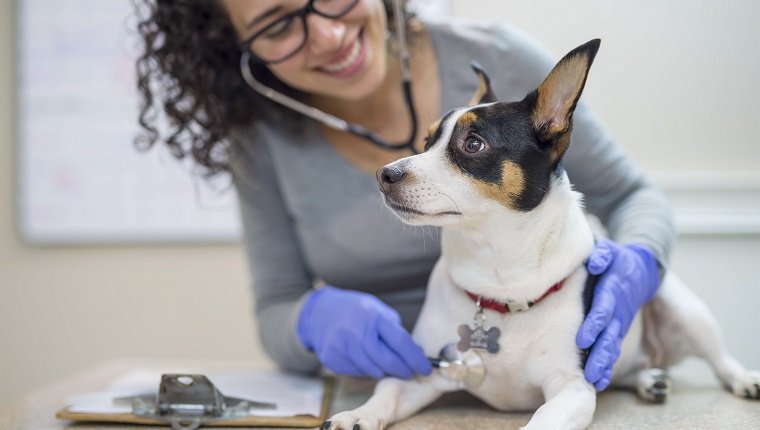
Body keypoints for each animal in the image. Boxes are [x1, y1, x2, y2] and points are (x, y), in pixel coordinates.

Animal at [322, 39, 760, 430]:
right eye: (427, 141)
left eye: (472, 144)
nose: (385, 174)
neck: (499, 282)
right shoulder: (425, 370)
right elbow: (387, 393)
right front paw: (355, 415)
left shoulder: (573, 390)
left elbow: (544, 418)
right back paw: (649, 379)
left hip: (681, 306)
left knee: (719, 359)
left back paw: (742, 379)